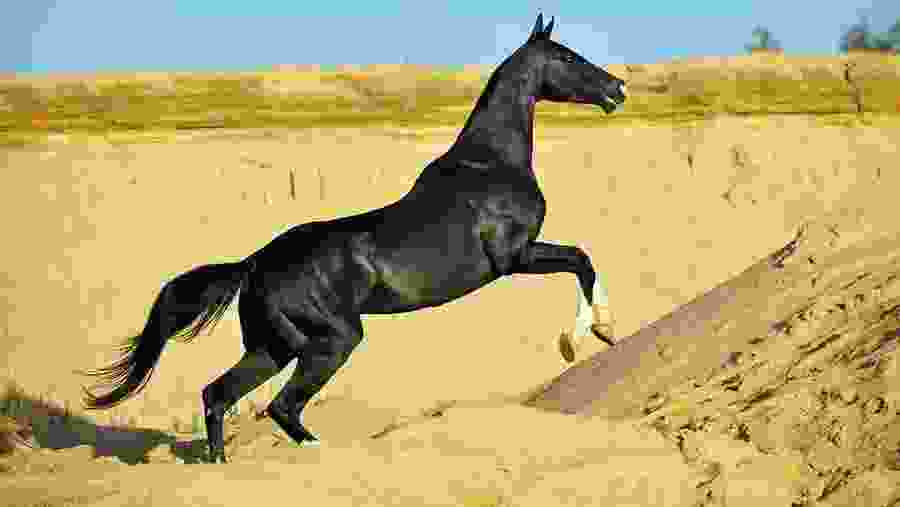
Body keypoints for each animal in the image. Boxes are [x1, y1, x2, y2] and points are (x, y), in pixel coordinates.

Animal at [80, 13, 627, 463]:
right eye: (569, 57)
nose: (617, 88)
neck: (490, 162)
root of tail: (255, 264)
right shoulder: (515, 257)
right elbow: (582, 259)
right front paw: (586, 337)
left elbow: (583, 261)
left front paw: (596, 335)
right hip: (334, 339)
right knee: (281, 407)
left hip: (274, 347)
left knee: (218, 395)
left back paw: (220, 466)